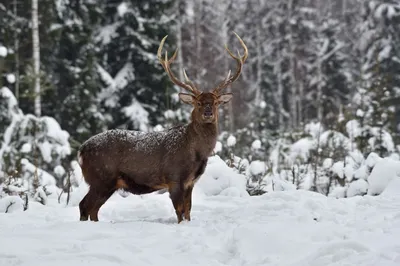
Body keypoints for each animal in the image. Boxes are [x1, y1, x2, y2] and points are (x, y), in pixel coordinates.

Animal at [76, 31, 247, 223]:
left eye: (216, 102)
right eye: (198, 102)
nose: (208, 113)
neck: (196, 152)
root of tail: (81, 150)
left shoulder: (190, 182)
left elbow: (188, 211)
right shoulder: (174, 177)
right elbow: (180, 211)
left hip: (106, 182)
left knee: (93, 209)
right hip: (101, 176)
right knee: (84, 205)